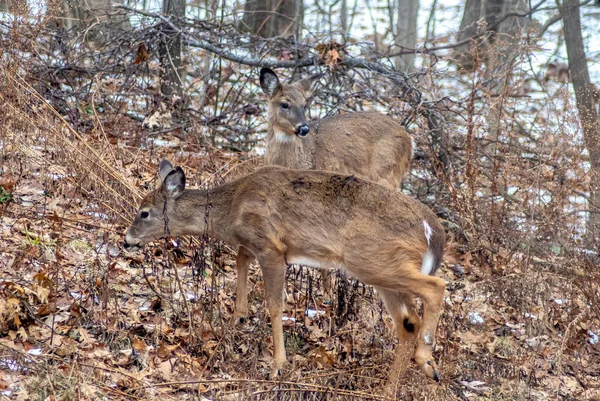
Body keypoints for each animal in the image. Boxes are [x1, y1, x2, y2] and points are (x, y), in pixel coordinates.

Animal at [124, 158, 448, 382]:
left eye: (144, 213)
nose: (126, 240)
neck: (231, 208)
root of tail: (434, 230)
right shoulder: (252, 244)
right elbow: (240, 261)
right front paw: (237, 317)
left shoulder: (272, 248)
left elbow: (275, 305)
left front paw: (278, 366)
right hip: (380, 269)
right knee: (409, 322)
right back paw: (390, 387)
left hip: (372, 262)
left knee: (436, 287)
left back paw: (427, 362)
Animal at [258, 67, 418, 302]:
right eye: (285, 104)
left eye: (305, 104)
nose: (303, 128)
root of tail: (409, 138)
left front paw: (327, 294)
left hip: (386, 175)